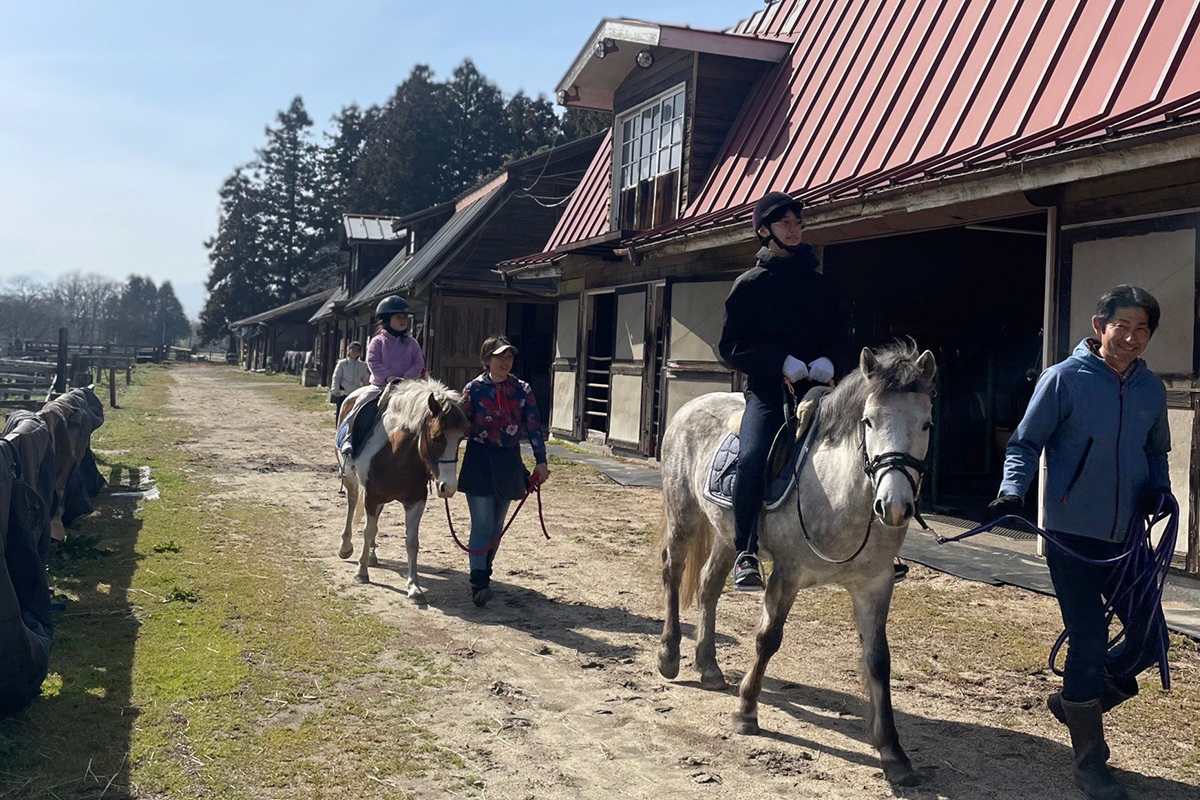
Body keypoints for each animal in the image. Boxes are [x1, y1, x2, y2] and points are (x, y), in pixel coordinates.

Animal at [338, 379, 472, 597]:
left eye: (461, 438)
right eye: (436, 437)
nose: (448, 487)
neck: (395, 452)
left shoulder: (415, 501)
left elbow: (411, 542)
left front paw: (414, 586)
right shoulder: (372, 497)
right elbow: (368, 531)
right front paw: (362, 572)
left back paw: (372, 555)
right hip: (351, 480)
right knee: (351, 503)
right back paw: (345, 546)